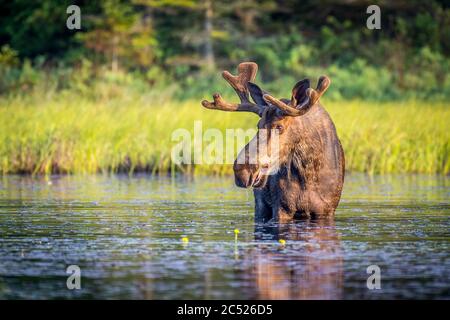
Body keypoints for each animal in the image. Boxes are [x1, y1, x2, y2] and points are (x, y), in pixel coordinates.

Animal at [200, 62, 344, 222]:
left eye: (279, 126)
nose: (241, 170)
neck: (309, 171)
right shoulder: (281, 208)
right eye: (258, 125)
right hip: (260, 204)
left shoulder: (326, 210)